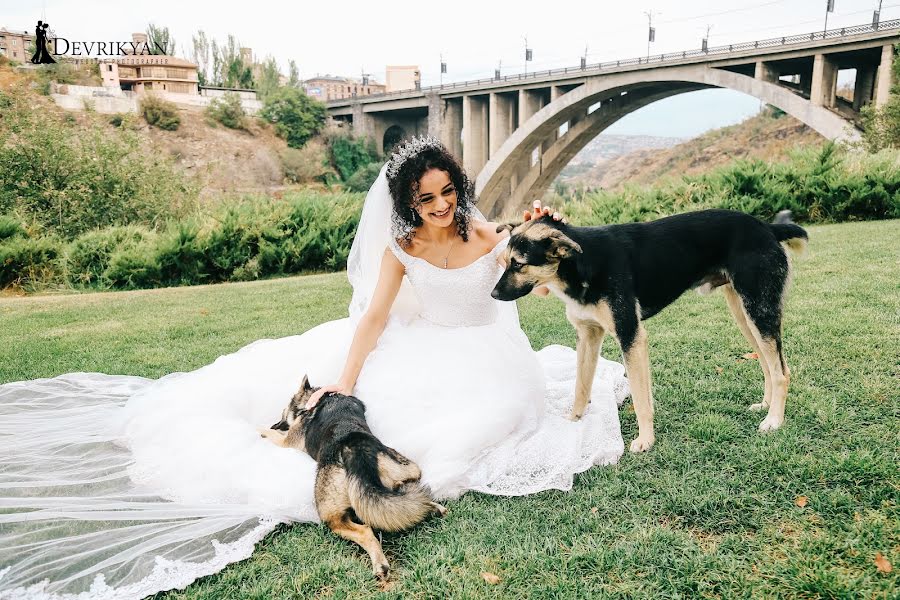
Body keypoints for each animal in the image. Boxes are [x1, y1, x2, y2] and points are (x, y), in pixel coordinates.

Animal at [258, 378, 444, 580]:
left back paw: (380, 565)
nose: (276, 423)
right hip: (405, 467)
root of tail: (353, 445)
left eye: (283, 412)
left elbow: (273, 434)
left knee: (365, 530)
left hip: (330, 515)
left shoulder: (286, 441)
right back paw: (434, 507)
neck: (316, 398)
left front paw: (261, 429)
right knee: (406, 491)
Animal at [492, 209, 808, 452]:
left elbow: (640, 398)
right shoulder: (588, 336)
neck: (582, 263)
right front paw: (573, 424)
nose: (493, 295)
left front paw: (645, 440)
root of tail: (767, 226)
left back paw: (774, 420)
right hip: (744, 313)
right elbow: (581, 387)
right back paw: (765, 405)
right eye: (504, 261)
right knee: (768, 364)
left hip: (759, 309)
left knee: (782, 371)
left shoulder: (631, 335)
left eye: (518, 264)